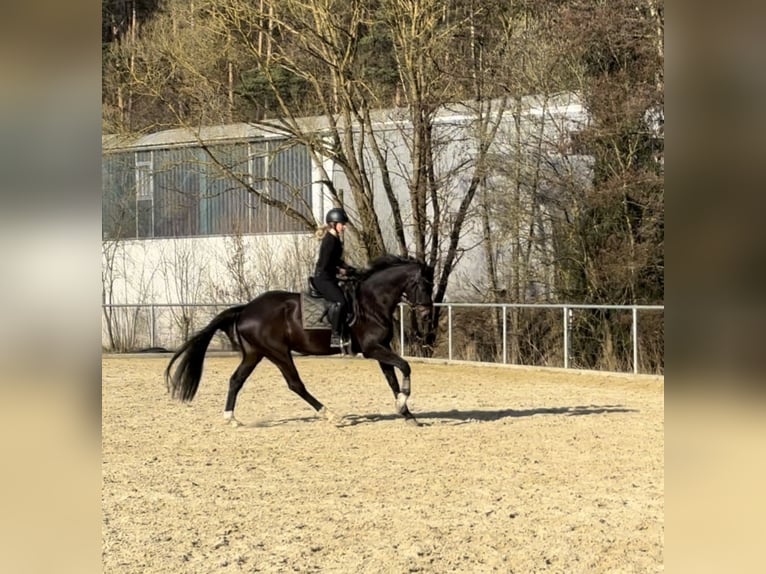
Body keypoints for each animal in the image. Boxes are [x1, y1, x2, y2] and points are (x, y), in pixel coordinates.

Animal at [164, 255, 435, 426]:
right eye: (422, 284)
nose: (425, 314)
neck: (372, 302)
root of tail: (246, 309)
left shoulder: (382, 348)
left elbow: (392, 379)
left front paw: (406, 413)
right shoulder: (372, 349)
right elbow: (405, 367)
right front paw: (403, 402)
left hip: (255, 353)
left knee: (236, 380)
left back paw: (231, 418)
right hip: (279, 353)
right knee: (295, 384)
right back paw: (331, 415)